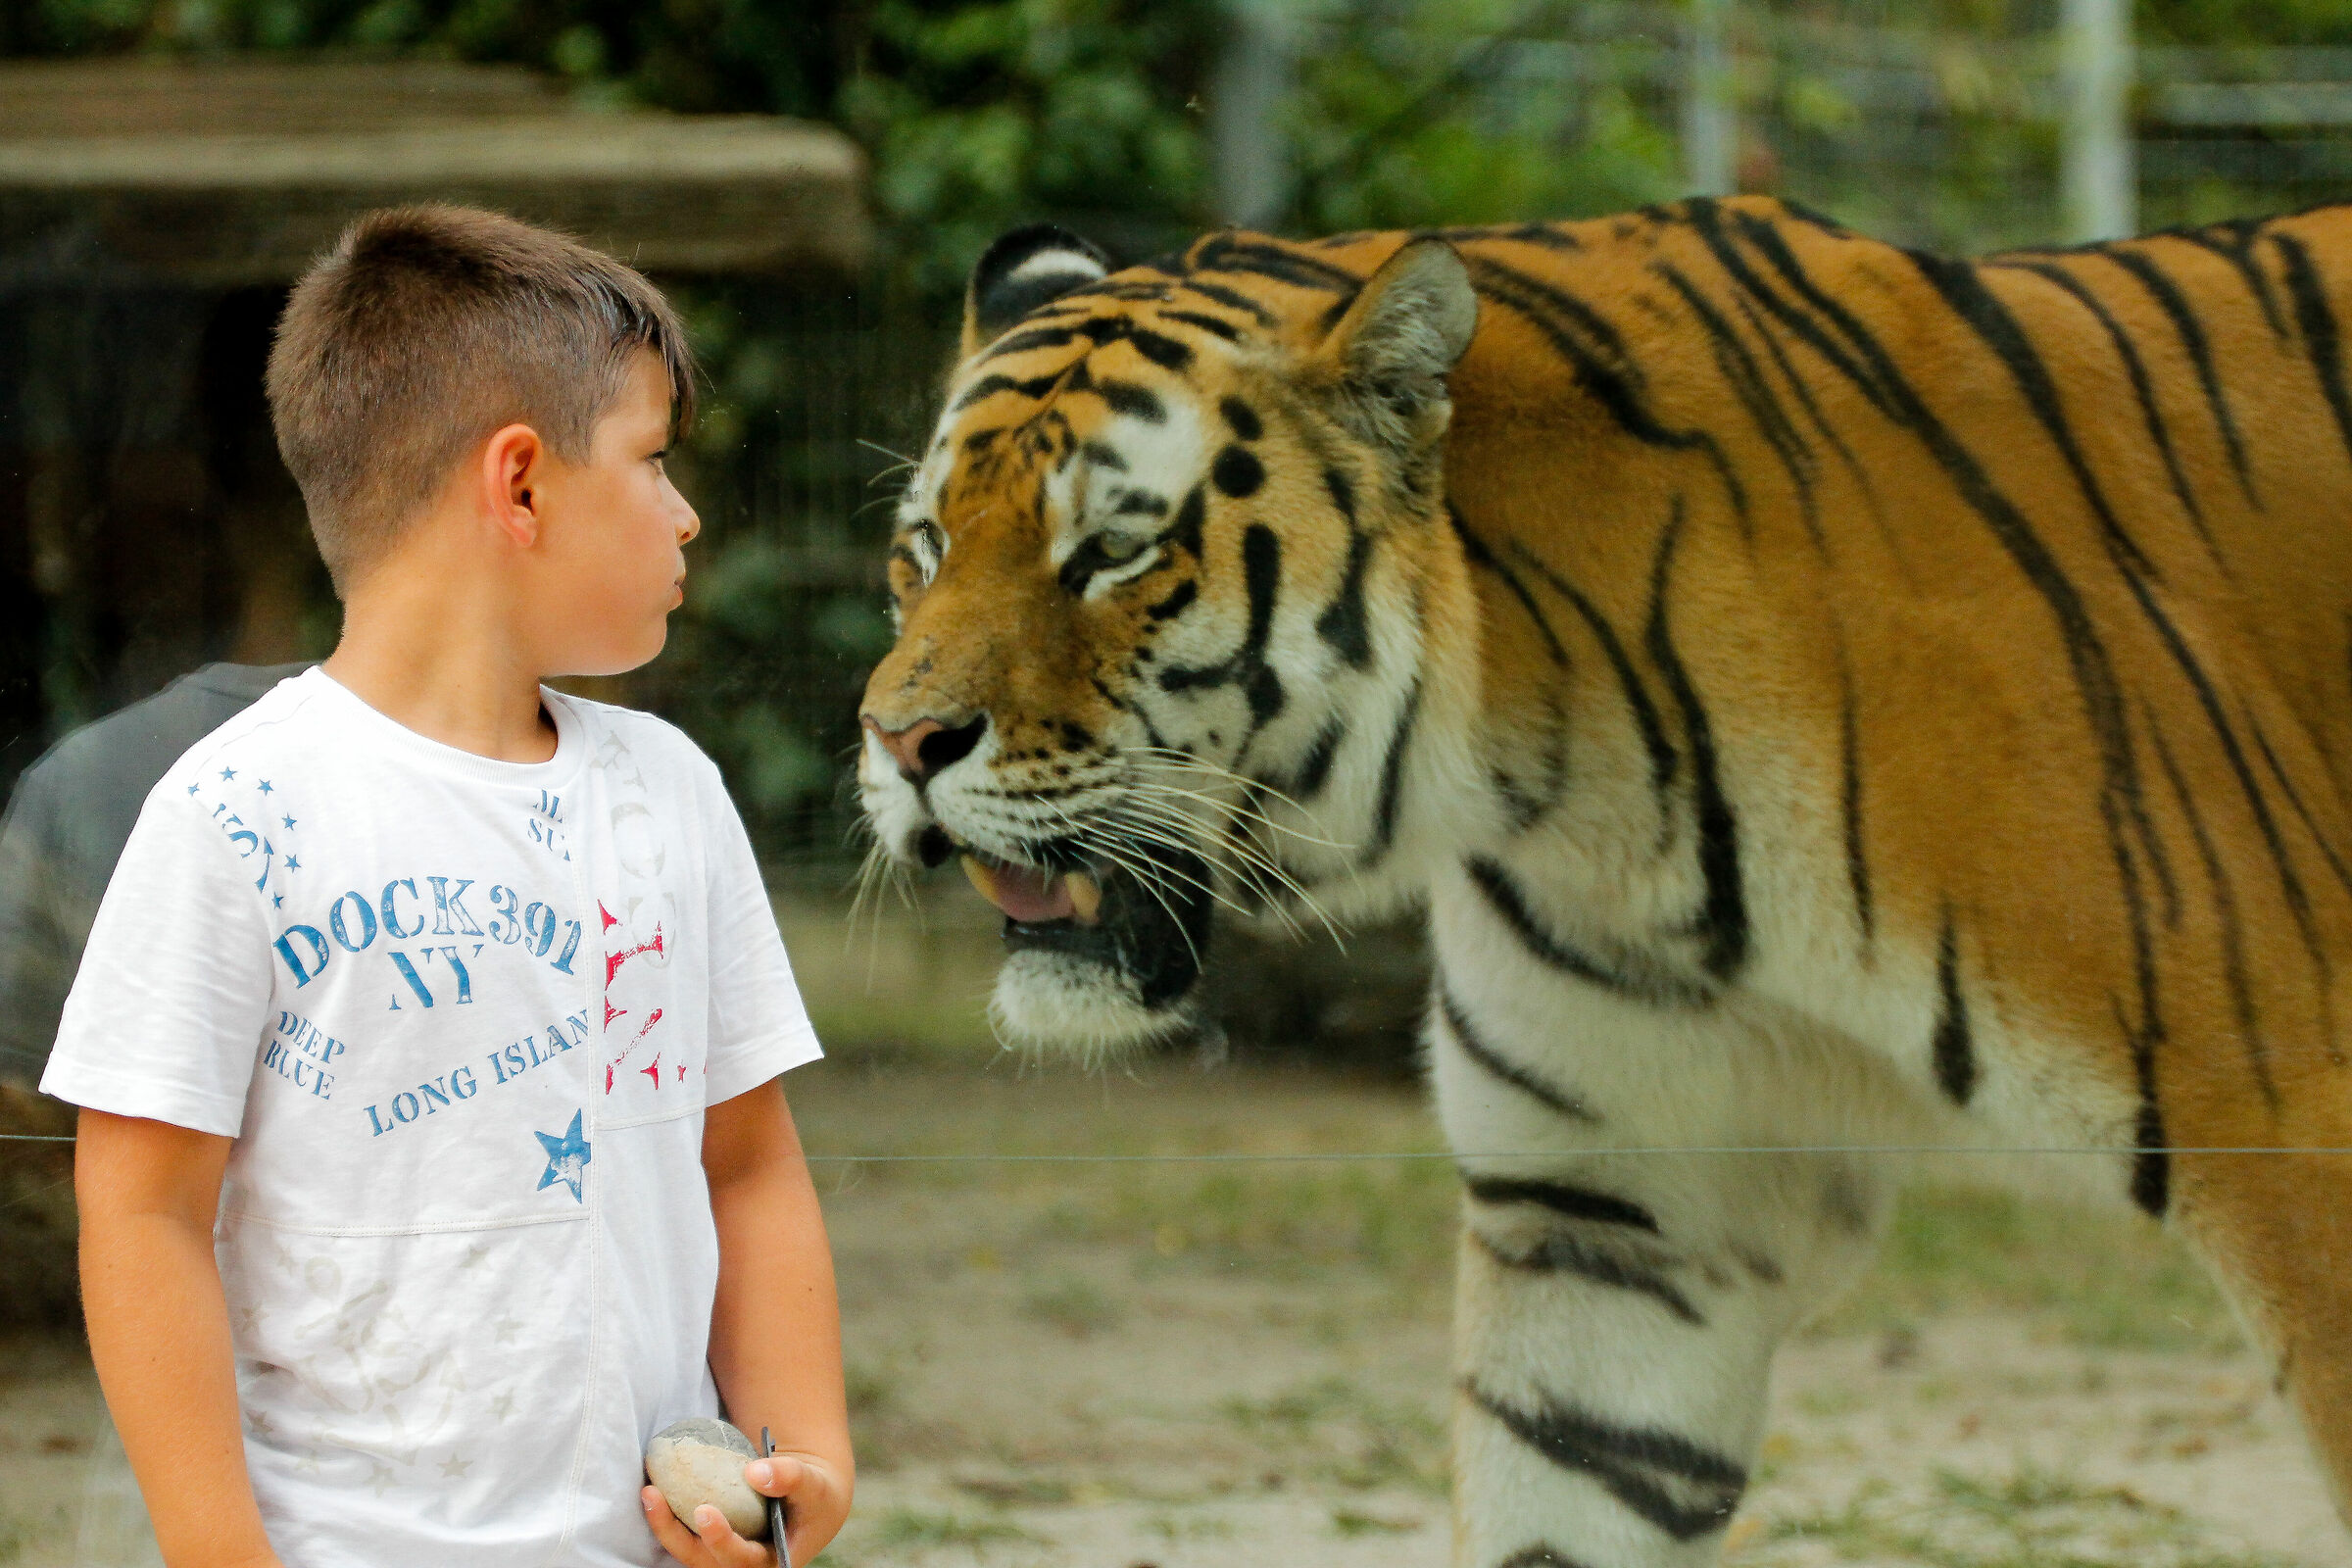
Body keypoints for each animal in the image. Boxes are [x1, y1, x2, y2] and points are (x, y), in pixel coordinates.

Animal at [855, 195, 2352, 1564]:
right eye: (925, 547)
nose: (899, 740)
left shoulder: (2297, 1138)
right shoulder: (1617, 1213)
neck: (1572, 790)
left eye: (1112, 550)